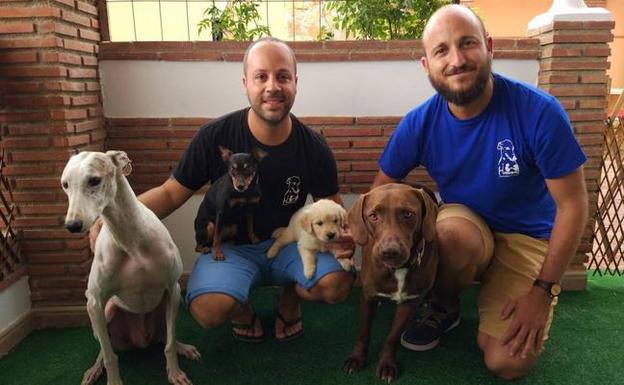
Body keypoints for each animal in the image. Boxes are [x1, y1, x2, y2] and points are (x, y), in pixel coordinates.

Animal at [344, 183, 442, 380]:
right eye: (373, 216)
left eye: (408, 214)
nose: (390, 252)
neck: (398, 269)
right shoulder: (368, 298)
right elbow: (363, 332)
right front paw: (357, 358)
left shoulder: (409, 302)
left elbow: (392, 337)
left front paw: (387, 363)